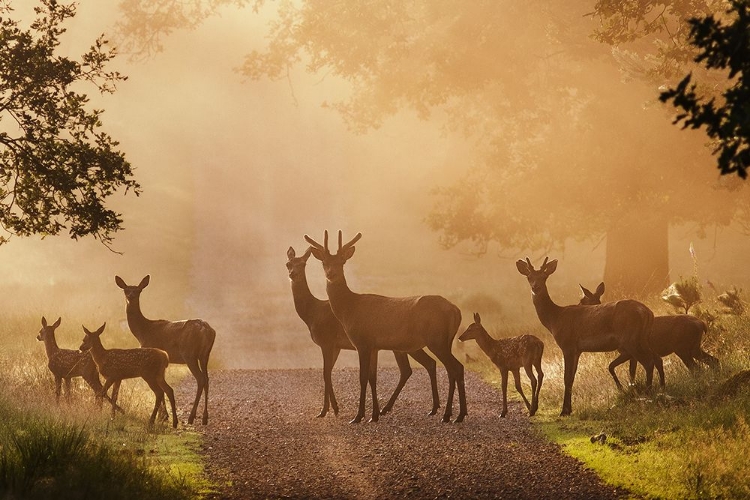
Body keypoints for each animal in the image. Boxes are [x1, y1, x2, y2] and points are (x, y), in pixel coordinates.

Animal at [114, 276, 216, 424]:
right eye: (125, 290)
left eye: (138, 290)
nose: (130, 296)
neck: (142, 332)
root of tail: (208, 330)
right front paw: (164, 416)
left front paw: (162, 417)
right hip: (205, 355)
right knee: (207, 379)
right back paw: (204, 418)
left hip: (189, 354)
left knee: (201, 378)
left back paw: (191, 417)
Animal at [286, 247, 440, 418]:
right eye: (288, 263)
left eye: (303, 264)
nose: (292, 274)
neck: (312, 314)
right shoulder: (337, 346)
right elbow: (329, 372)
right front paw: (331, 408)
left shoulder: (328, 341)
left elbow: (326, 373)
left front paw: (329, 409)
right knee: (419, 366)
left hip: (407, 345)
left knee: (414, 367)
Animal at [302, 229, 468, 422]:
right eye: (324, 262)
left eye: (342, 262)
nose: (331, 274)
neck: (349, 309)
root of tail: (456, 310)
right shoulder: (374, 346)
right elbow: (372, 377)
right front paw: (374, 415)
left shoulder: (362, 342)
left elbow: (362, 377)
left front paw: (358, 416)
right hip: (444, 341)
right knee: (454, 368)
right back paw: (456, 413)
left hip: (437, 340)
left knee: (454, 367)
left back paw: (451, 414)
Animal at [516, 256, 660, 416]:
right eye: (529, 277)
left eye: (544, 277)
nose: (535, 287)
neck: (554, 319)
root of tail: (647, 312)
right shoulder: (578, 350)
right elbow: (572, 377)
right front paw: (569, 409)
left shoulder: (567, 345)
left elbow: (566, 378)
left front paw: (564, 411)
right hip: (643, 338)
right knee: (656, 358)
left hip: (631, 339)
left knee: (648, 362)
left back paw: (648, 393)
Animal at [580, 282, 720, 386]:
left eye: (582, 301)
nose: (578, 305)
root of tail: (702, 324)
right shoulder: (631, 354)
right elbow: (631, 371)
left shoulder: (628, 351)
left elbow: (623, 369)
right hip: (694, 347)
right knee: (713, 361)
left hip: (682, 348)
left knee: (697, 368)